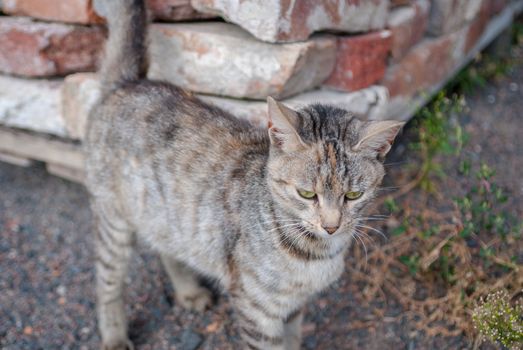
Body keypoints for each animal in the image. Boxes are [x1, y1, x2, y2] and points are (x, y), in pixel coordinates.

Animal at [85, 1, 406, 348]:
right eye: (307, 194)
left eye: (353, 195)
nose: (331, 226)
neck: (315, 253)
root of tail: (129, 83)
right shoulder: (256, 309)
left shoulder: (293, 308)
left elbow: (293, 339)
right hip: (114, 222)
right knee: (107, 280)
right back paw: (114, 334)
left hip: (166, 216)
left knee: (167, 247)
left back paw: (188, 291)